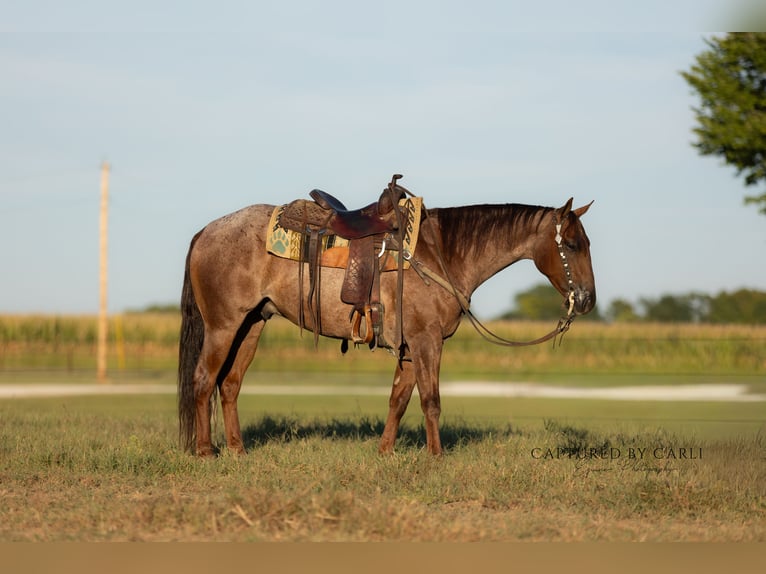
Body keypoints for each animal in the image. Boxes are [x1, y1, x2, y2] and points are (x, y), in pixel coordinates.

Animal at [177, 190, 596, 456]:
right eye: (572, 245)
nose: (587, 300)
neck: (441, 253)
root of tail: (205, 231)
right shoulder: (427, 340)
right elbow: (430, 401)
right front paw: (436, 457)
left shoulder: (410, 345)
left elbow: (399, 399)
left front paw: (385, 452)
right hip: (223, 326)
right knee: (204, 379)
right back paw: (206, 451)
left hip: (252, 323)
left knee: (230, 384)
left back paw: (237, 450)